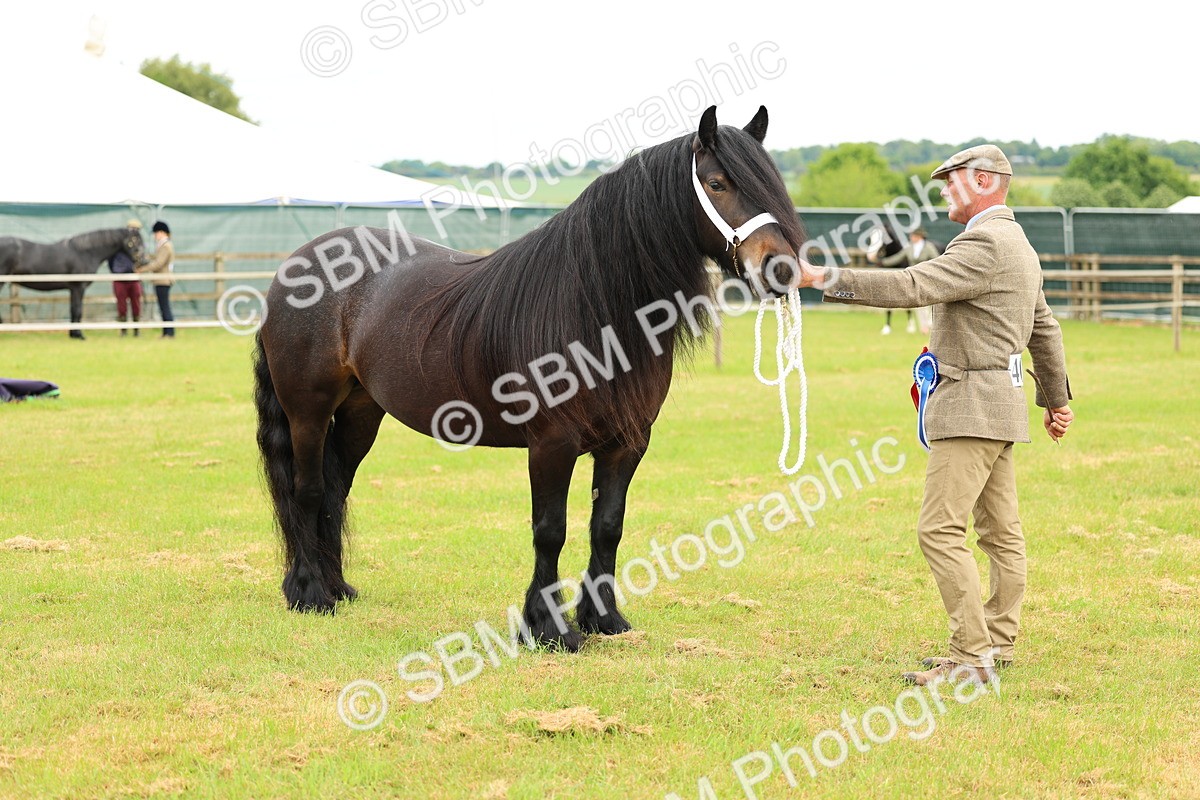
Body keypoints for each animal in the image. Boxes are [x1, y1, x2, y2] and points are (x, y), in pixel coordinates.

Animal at [0, 227, 146, 338]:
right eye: (133, 241)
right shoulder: (78, 287)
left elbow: (72, 309)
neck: (86, 253)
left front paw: (72, 334)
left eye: (141, 241)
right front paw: (79, 335)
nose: (144, 261)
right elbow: (77, 310)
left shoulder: (72, 289)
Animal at [254, 105, 805, 650]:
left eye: (773, 183)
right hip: (307, 410)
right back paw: (309, 594)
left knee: (334, 488)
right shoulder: (551, 443)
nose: (781, 269)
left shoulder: (627, 444)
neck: (594, 306)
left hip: (361, 412)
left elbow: (607, 526)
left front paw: (604, 619)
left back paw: (337, 587)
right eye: (716, 183)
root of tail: (296, 266)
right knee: (307, 489)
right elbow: (550, 530)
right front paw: (547, 627)